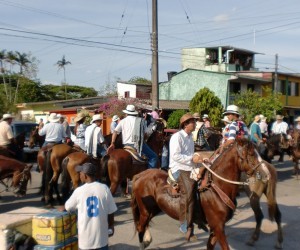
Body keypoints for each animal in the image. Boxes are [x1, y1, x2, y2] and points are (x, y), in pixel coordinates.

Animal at [131, 139, 282, 250]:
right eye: (251, 154)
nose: (266, 174)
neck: (216, 187)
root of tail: (140, 175)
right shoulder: (218, 227)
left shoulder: (215, 228)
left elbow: (210, 246)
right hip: (145, 210)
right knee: (140, 227)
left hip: (154, 209)